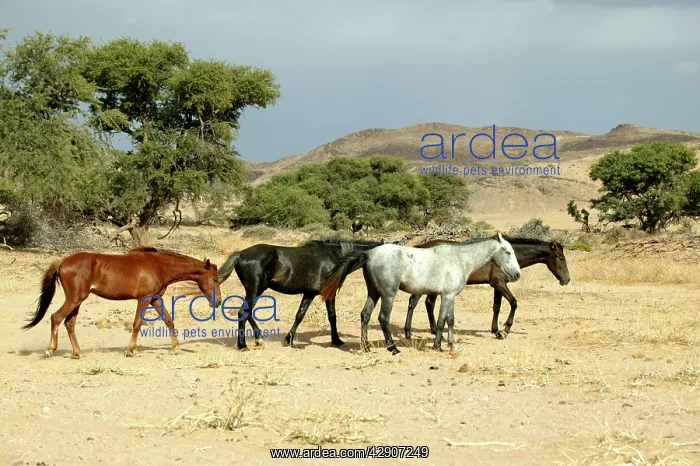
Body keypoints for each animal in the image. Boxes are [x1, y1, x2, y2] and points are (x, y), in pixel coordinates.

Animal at [22, 246, 222, 359]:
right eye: (214, 279)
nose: (218, 301)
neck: (159, 266)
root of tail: (63, 262)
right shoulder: (144, 299)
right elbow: (137, 324)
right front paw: (131, 351)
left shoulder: (155, 299)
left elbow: (169, 320)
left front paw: (176, 347)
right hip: (75, 299)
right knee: (56, 318)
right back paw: (50, 350)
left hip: (77, 301)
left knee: (69, 323)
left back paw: (78, 353)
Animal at [217, 239, 383, 350]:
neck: (334, 257)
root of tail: (241, 254)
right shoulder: (329, 294)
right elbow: (332, 317)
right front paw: (336, 340)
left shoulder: (309, 294)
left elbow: (300, 315)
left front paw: (289, 339)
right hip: (255, 290)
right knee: (243, 313)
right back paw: (244, 345)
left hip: (255, 291)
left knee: (248, 313)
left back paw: (257, 339)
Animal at [319, 233, 522, 354]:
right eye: (508, 251)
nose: (517, 275)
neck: (459, 259)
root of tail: (368, 254)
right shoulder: (446, 296)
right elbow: (440, 321)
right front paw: (438, 345)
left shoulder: (450, 296)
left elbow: (450, 320)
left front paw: (452, 345)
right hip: (388, 295)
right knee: (383, 318)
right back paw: (393, 348)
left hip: (373, 293)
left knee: (365, 315)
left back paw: (367, 346)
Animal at [404, 237, 571, 340]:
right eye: (561, 258)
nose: (566, 280)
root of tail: (421, 246)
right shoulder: (499, 284)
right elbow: (514, 303)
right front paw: (505, 329)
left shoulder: (498, 285)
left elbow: (497, 307)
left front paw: (496, 331)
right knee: (414, 302)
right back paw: (408, 333)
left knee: (428, 303)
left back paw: (432, 331)